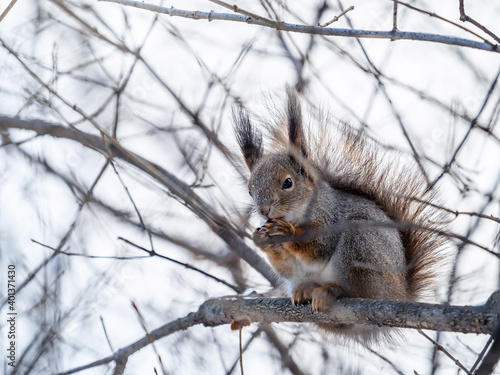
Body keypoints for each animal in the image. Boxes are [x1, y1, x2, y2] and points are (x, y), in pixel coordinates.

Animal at [232, 91, 448, 340]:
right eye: (250, 190)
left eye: (288, 183)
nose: (263, 211)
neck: (298, 213)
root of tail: (400, 294)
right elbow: (284, 267)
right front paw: (260, 239)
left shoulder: (330, 219)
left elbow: (319, 249)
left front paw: (287, 232)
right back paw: (306, 290)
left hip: (361, 246)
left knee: (357, 290)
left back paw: (333, 290)